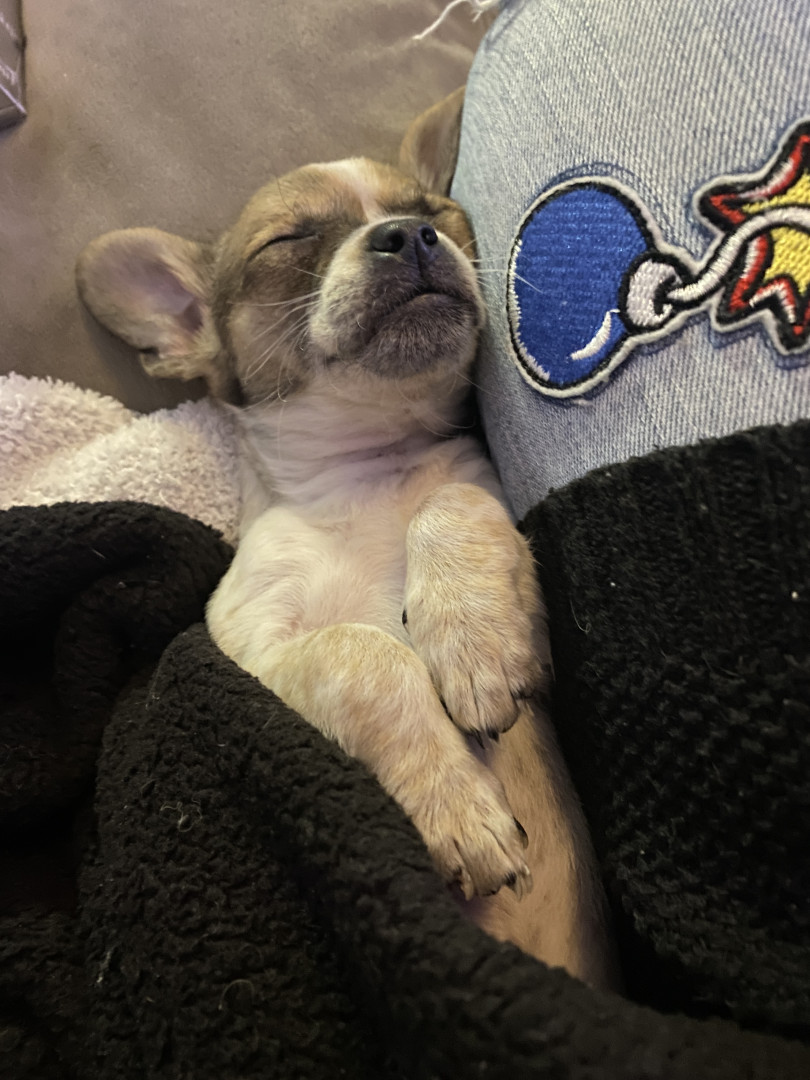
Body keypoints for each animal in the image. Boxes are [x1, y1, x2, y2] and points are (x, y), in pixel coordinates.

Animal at [77, 89, 617, 990]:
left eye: (435, 211)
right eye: (288, 241)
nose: (410, 235)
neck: (369, 469)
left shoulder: (502, 553)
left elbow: (452, 504)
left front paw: (472, 645)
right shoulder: (252, 655)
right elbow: (364, 653)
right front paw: (457, 807)